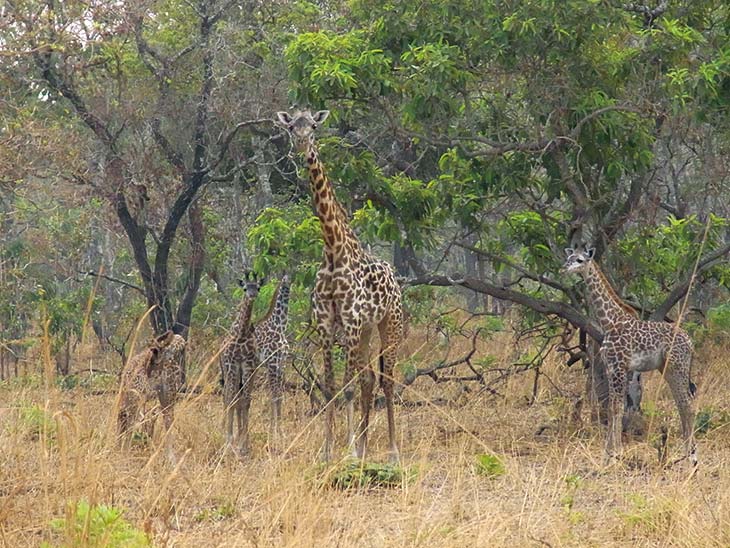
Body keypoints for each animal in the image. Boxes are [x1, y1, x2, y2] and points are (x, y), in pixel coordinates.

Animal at [278, 109, 404, 460]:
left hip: (389, 324)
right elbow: (332, 388)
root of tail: (396, 279)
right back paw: (363, 444)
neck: (333, 251)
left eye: (314, 126)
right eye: (291, 126)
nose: (301, 146)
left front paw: (347, 451)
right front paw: (329, 450)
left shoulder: (349, 323)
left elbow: (346, 389)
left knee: (387, 379)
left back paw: (391, 450)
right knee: (369, 379)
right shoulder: (326, 325)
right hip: (366, 331)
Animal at [560, 246, 696, 464]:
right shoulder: (610, 367)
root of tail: (691, 343)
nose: (564, 268)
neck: (609, 321)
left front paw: (613, 454)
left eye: (580, 260)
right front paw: (609, 453)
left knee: (687, 404)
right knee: (682, 403)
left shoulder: (619, 366)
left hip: (678, 366)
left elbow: (616, 408)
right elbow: (612, 408)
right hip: (666, 368)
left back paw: (692, 458)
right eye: (568, 257)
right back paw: (686, 454)